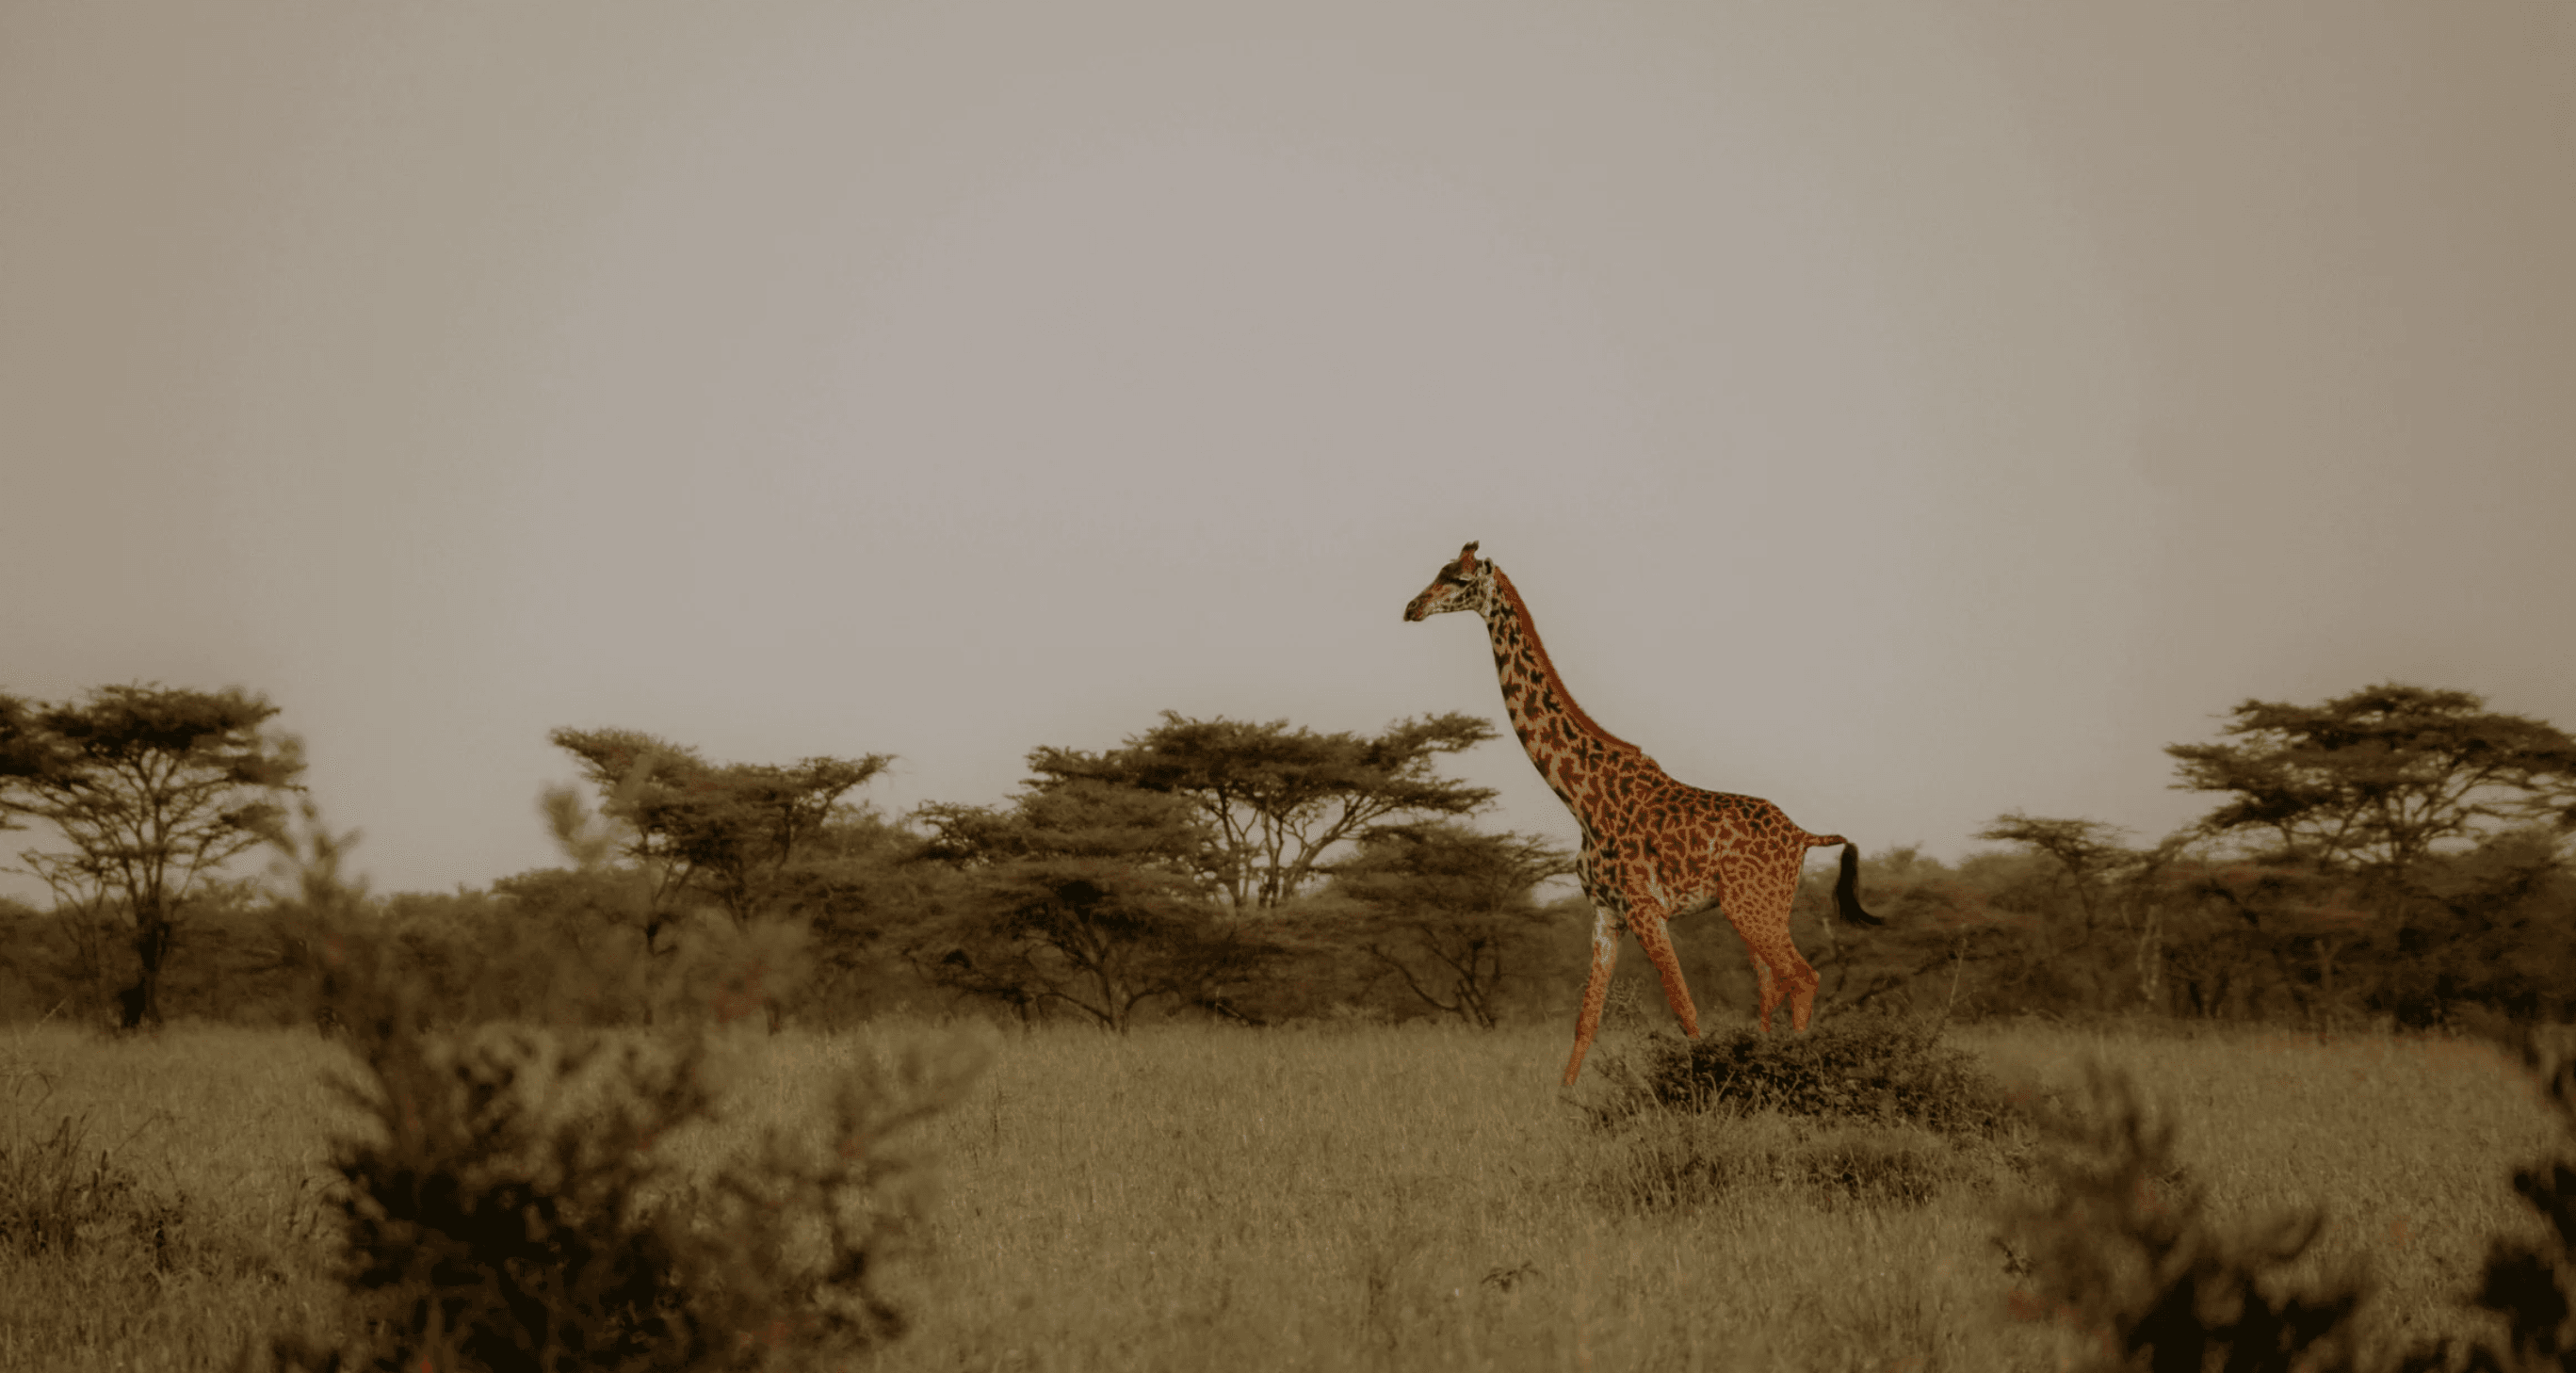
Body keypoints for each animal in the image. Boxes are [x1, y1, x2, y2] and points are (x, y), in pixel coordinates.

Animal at [1403, 541, 1882, 1086]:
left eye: (1458, 580)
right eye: (1439, 571)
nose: (1412, 607)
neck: (1580, 797)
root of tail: (1804, 836)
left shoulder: (1645, 909)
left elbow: (1685, 1011)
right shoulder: (1606, 913)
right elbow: (1586, 1020)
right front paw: (1564, 1098)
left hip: (1753, 906)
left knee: (1801, 977)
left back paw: (1800, 1072)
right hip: (1758, 908)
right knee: (1772, 988)